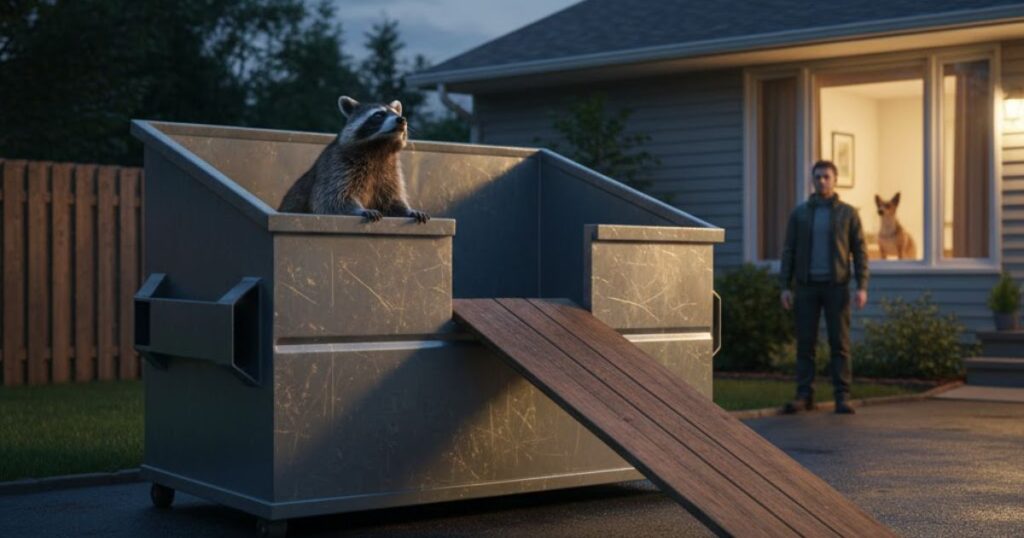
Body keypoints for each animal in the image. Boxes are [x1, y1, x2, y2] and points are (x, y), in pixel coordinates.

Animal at [277, 96, 429, 223]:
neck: (379, 149)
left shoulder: (390, 172)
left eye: (397, 114)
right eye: (378, 115)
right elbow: (331, 200)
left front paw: (408, 210)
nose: (401, 120)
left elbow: (392, 200)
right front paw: (359, 210)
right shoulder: (338, 166)